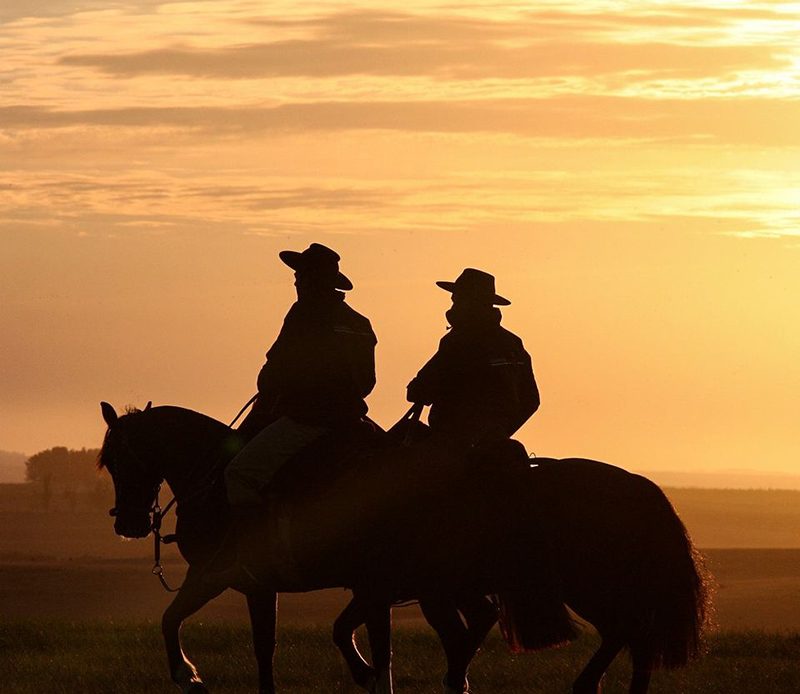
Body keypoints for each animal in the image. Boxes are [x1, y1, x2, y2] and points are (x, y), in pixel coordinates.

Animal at [98, 402, 708, 694]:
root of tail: (637, 485)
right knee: (628, 637)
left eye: (117, 459)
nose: (128, 523)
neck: (216, 475)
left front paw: (188, 677)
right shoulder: (298, 587)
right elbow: (282, 645)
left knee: (625, 632)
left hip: (587, 585)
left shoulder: (223, 574)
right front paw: (369, 673)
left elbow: (177, 622)